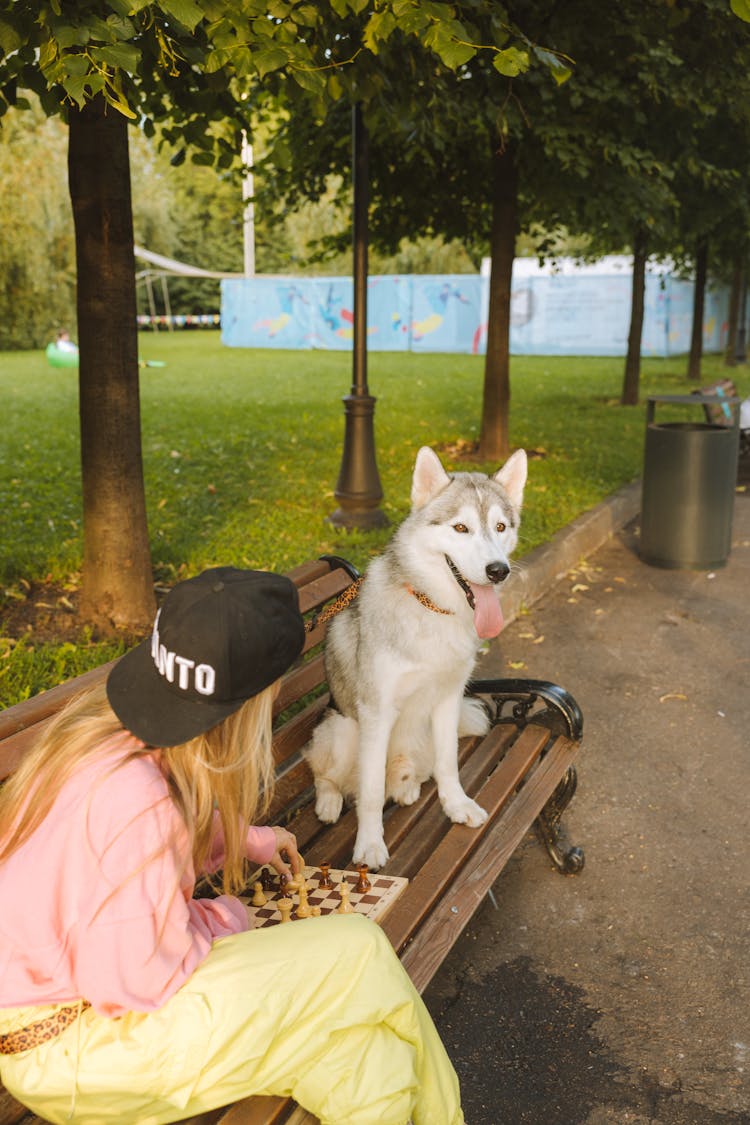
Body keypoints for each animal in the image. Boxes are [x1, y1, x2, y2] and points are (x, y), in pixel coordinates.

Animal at [305, 443, 528, 864]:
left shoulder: (448, 699)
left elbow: (448, 766)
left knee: (412, 773)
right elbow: (370, 793)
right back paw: (329, 802)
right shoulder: (376, 712)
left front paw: (456, 805)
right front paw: (370, 844)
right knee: (329, 777)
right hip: (342, 732)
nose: (498, 570)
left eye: (500, 527)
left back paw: (405, 786)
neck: (433, 609)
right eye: (460, 528)